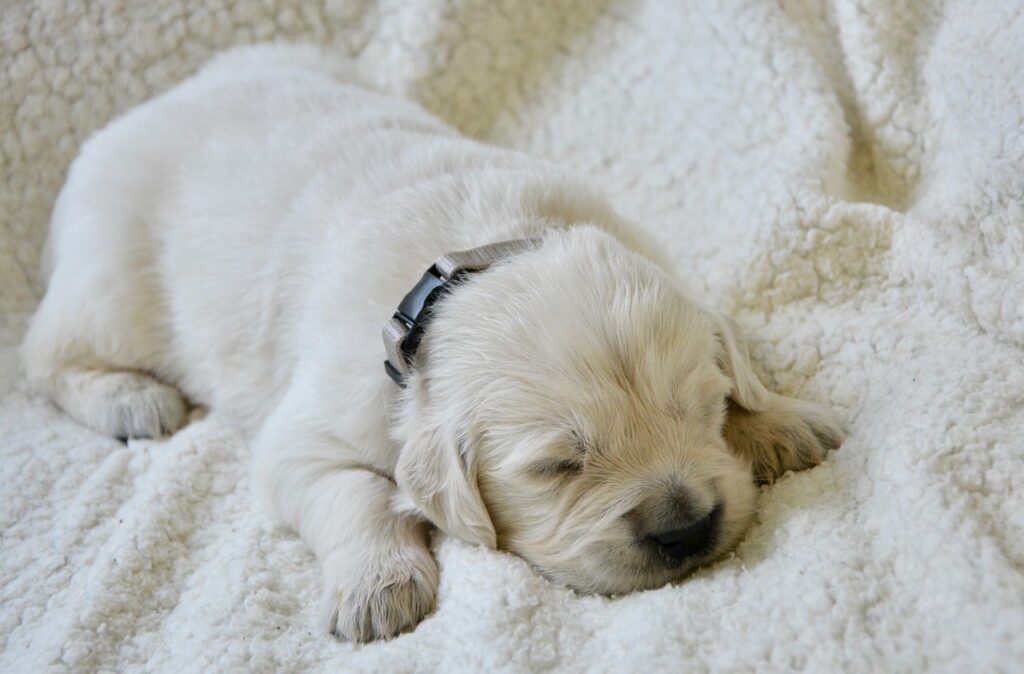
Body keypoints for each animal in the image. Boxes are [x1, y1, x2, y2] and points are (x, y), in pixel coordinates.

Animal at [24, 44, 843, 639]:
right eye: (556, 467)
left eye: (702, 409)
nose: (688, 529)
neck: (472, 258)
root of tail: (153, 104)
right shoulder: (310, 433)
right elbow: (358, 492)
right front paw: (377, 587)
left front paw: (780, 420)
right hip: (113, 284)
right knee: (45, 352)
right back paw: (129, 398)